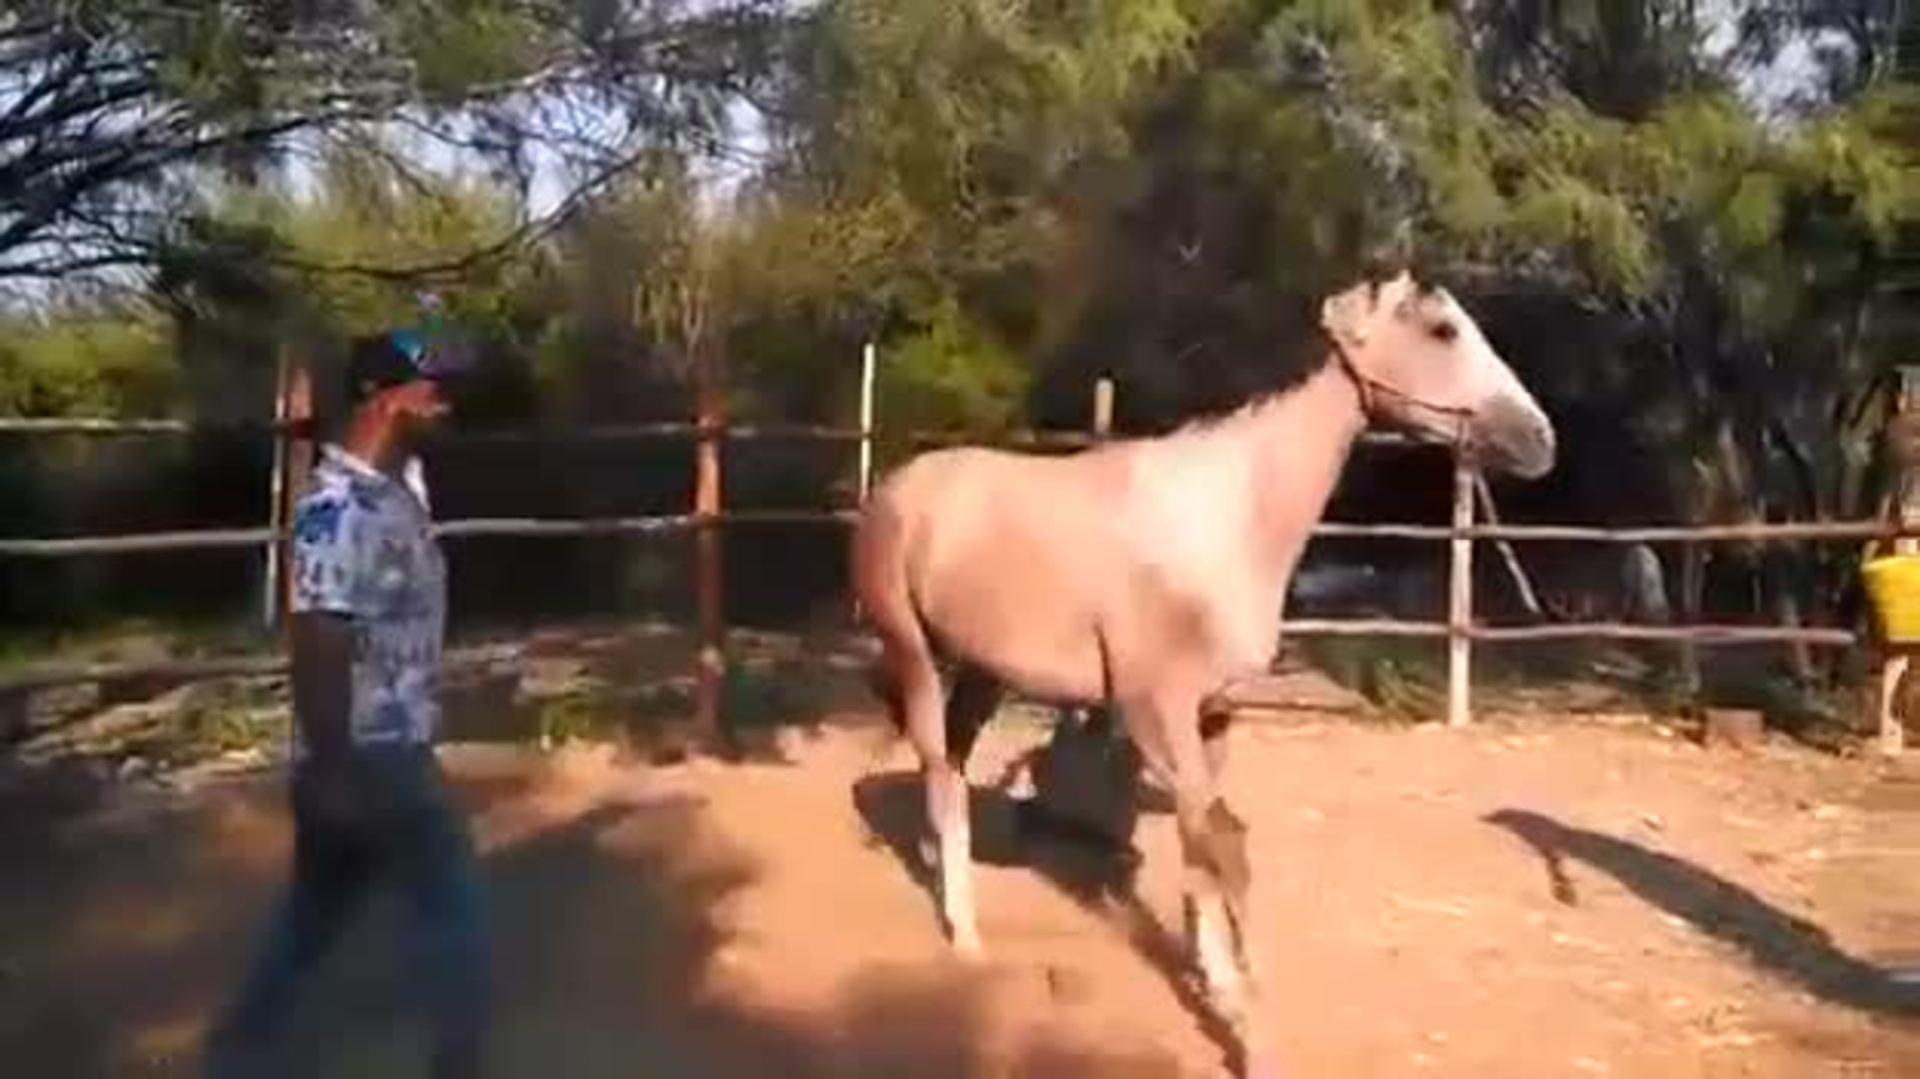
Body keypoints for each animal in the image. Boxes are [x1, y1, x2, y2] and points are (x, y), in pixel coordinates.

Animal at [850, 270, 1556, 1074]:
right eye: (1442, 329)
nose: (1540, 440)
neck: (1227, 520)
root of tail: (894, 487)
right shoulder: (1157, 714)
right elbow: (1222, 850)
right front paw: (1252, 1031)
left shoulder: (1213, 713)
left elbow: (1207, 847)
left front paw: (1215, 979)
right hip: (914, 654)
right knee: (939, 764)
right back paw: (965, 937)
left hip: (982, 672)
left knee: (950, 765)